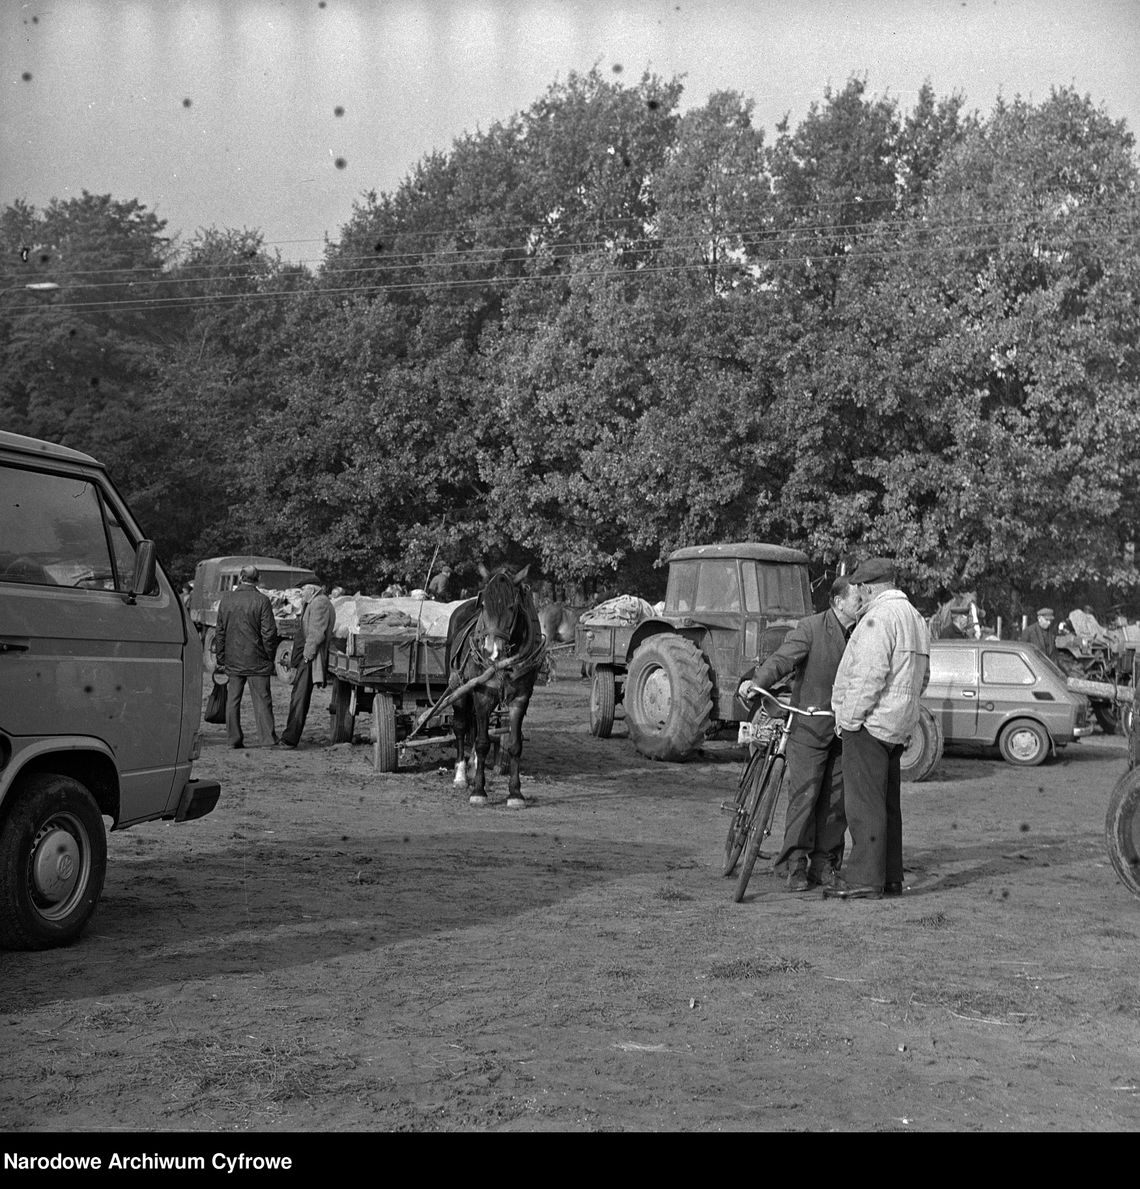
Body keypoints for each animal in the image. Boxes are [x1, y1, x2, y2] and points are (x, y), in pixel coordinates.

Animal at [444, 558, 546, 803]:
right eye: (483, 606)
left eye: (512, 607)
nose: (492, 650)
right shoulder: (481, 694)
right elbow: (482, 742)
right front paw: (478, 791)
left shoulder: (521, 697)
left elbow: (514, 744)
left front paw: (515, 793)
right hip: (459, 689)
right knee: (461, 726)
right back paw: (461, 774)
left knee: (475, 726)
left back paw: (472, 765)